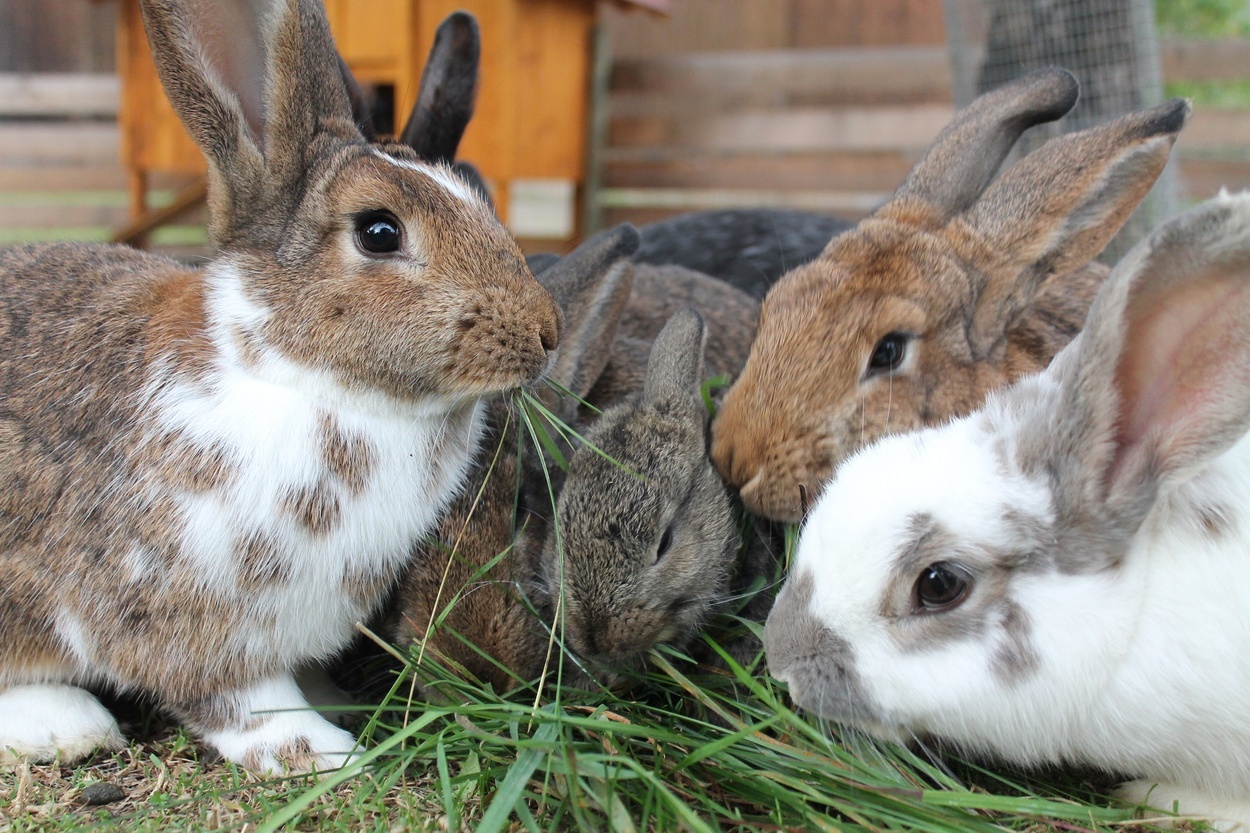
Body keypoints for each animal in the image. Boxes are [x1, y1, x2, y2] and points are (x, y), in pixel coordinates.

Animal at [0, 0, 561, 775]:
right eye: (379, 231)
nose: (547, 332)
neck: (298, 375)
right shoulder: (185, 615)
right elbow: (242, 700)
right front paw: (324, 751)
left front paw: (334, 701)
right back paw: (66, 726)